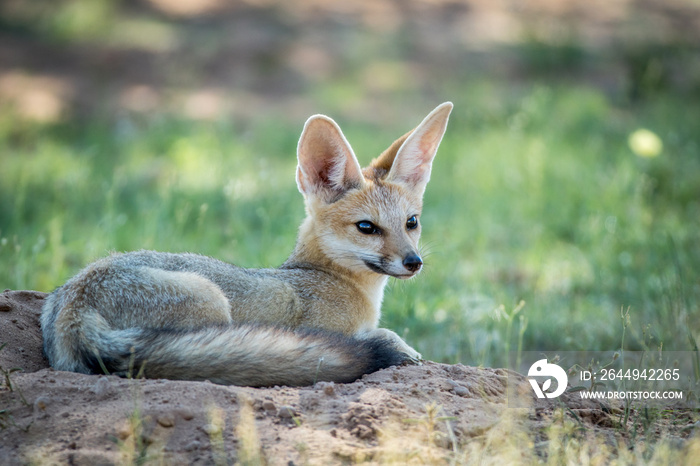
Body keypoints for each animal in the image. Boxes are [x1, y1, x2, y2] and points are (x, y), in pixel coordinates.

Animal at [41, 101, 454, 386]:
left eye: (411, 223)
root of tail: (75, 308)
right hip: (211, 300)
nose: (413, 262)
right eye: (367, 227)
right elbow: (387, 335)